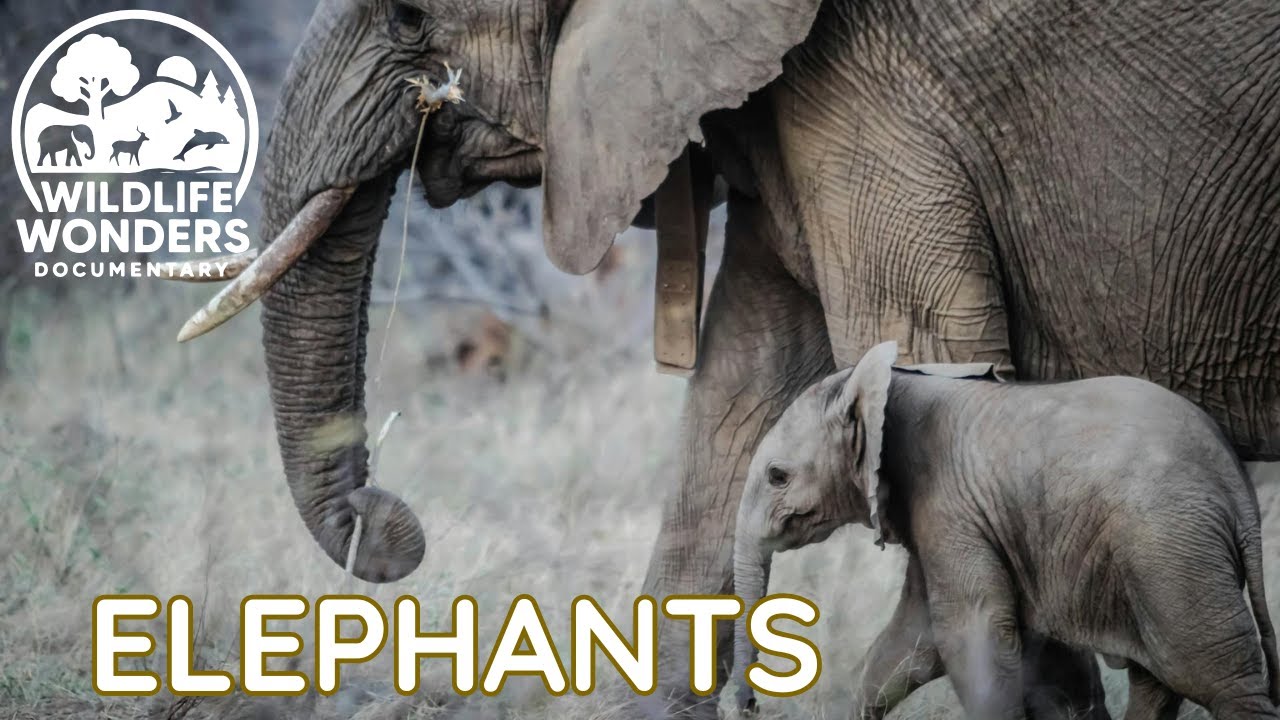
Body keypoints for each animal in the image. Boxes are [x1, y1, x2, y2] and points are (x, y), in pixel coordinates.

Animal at [732, 341, 1280, 720]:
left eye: (777, 476)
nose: (750, 706)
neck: (890, 383)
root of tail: (1235, 485)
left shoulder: (950, 505)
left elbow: (970, 636)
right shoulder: (945, 517)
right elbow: (911, 642)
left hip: (1170, 551)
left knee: (1216, 679)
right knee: (1158, 680)